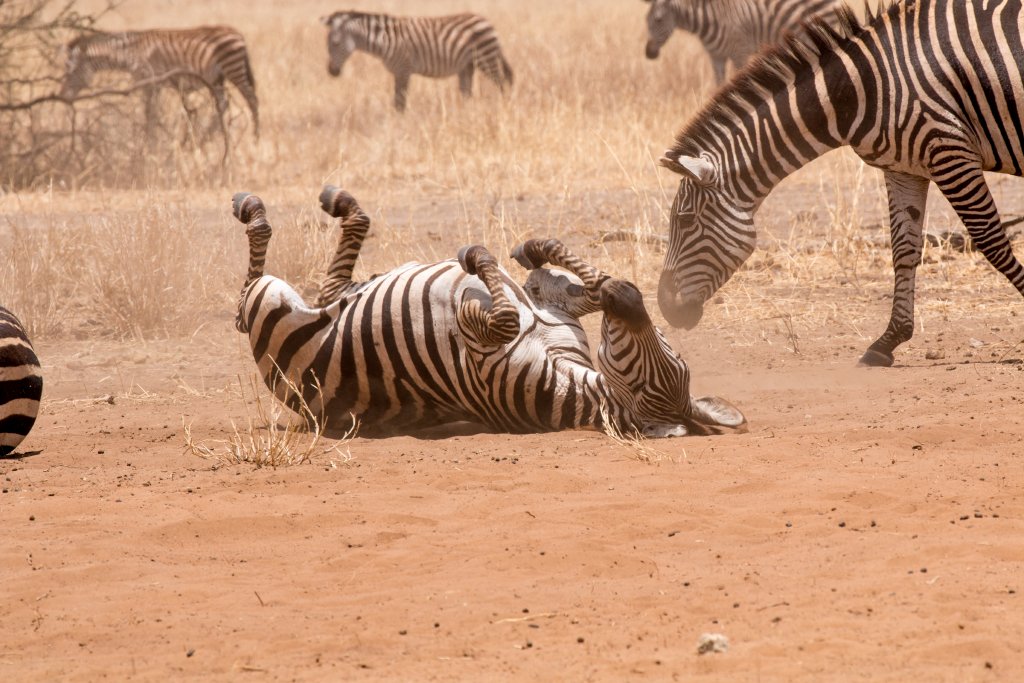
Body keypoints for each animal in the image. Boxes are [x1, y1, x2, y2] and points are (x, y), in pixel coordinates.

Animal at [60, 26, 259, 157]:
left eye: (72, 71)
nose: (63, 96)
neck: (130, 52)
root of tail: (237, 33)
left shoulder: (150, 82)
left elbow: (150, 114)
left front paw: (150, 147)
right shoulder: (150, 84)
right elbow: (151, 114)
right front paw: (153, 146)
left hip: (233, 70)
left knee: (252, 101)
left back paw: (255, 140)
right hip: (217, 78)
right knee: (223, 105)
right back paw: (204, 142)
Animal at [231, 186, 745, 438]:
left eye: (641, 384)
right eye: (671, 349)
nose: (632, 298)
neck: (567, 375)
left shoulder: (484, 360)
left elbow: (503, 318)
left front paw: (477, 263)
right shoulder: (558, 303)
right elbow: (574, 275)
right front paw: (532, 250)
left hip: (272, 304)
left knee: (248, 293)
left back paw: (252, 210)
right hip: (334, 296)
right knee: (334, 279)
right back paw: (339, 202)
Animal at [320, 11, 514, 112]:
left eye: (335, 43)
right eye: (327, 44)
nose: (331, 72)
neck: (384, 40)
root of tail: (486, 21)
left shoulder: (403, 69)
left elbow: (399, 101)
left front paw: (399, 123)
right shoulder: (400, 72)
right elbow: (398, 100)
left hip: (485, 58)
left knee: (502, 83)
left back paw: (503, 108)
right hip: (468, 65)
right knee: (467, 93)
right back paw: (466, 114)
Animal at [643, 0, 842, 85]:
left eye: (658, 20)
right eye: (646, 20)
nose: (648, 53)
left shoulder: (740, 51)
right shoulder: (716, 57)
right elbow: (719, 83)